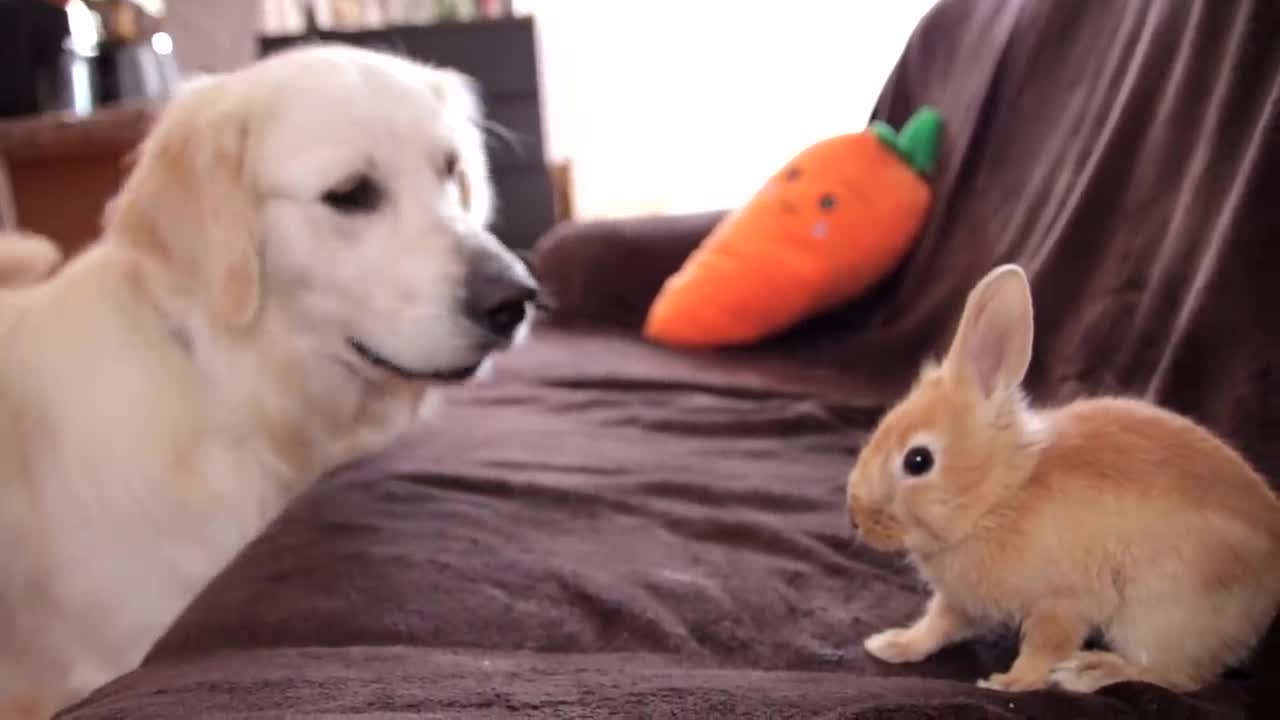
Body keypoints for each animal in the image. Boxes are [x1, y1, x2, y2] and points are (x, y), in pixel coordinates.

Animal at [839, 262, 1280, 691]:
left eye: (918, 461)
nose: (855, 518)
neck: (1001, 497)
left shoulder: (1063, 601)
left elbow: (1045, 646)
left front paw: (1009, 683)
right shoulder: (963, 600)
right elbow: (939, 624)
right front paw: (892, 645)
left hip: (1158, 616)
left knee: (1173, 676)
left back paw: (1089, 672)